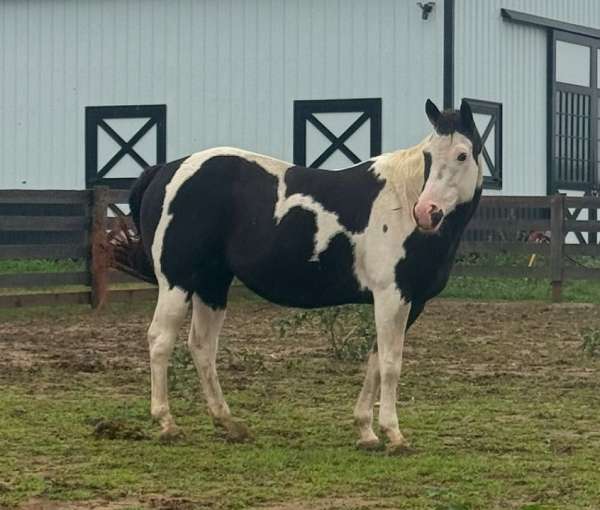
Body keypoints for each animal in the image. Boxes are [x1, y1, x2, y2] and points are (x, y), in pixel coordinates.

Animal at [113, 97, 482, 452]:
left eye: (462, 154)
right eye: (429, 156)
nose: (426, 212)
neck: (400, 199)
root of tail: (164, 171)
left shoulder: (409, 303)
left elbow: (375, 360)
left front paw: (366, 432)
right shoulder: (392, 296)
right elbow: (391, 363)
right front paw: (394, 434)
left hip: (211, 285)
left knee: (202, 346)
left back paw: (229, 424)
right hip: (176, 283)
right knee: (160, 340)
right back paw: (167, 423)